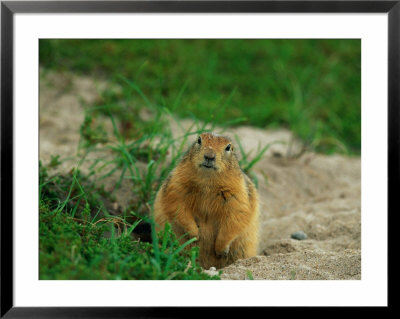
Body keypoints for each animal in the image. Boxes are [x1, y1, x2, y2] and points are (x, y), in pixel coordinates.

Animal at [153, 132, 260, 270]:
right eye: (199, 140)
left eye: (228, 147)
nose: (209, 156)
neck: (208, 182)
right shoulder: (176, 185)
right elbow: (178, 207)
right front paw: (195, 234)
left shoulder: (238, 194)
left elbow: (236, 217)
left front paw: (221, 249)